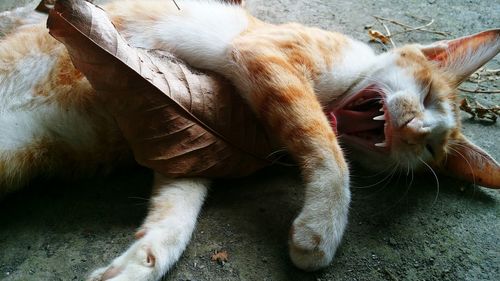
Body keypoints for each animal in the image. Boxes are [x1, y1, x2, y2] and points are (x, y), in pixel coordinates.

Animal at [0, 0, 498, 278]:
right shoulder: (267, 56)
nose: (416, 131)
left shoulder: (181, 139)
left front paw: (142, 261)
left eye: (430, 149)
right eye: (427, 95)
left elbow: (178, 211)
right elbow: (327, 148)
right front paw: (323, 227)